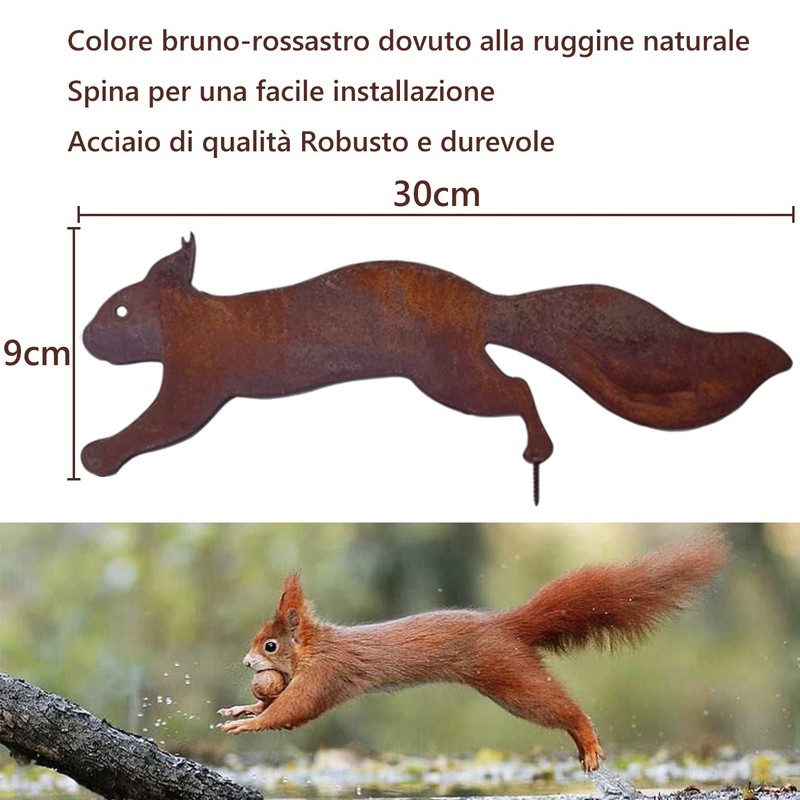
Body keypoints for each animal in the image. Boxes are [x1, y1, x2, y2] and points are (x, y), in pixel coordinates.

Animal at [81, 235, 790, 501]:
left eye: (118, 309)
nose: (84, 339)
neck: (194, 319)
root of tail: (484, 301)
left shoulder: (195, 386)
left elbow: (155, 424)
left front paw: (97, 454)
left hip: (450, 377)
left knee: (520, 387)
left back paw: (538, 450)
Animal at [217, 533, 729, 770]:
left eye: (269, 644)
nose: (244, 663)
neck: (316, 648)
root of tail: (505, 625)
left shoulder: (327, 673)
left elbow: (294, 710)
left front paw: (250, 724)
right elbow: (276, 703)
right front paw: (240, 709)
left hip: (509, 678)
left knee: (561, 707)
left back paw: (586, 737)